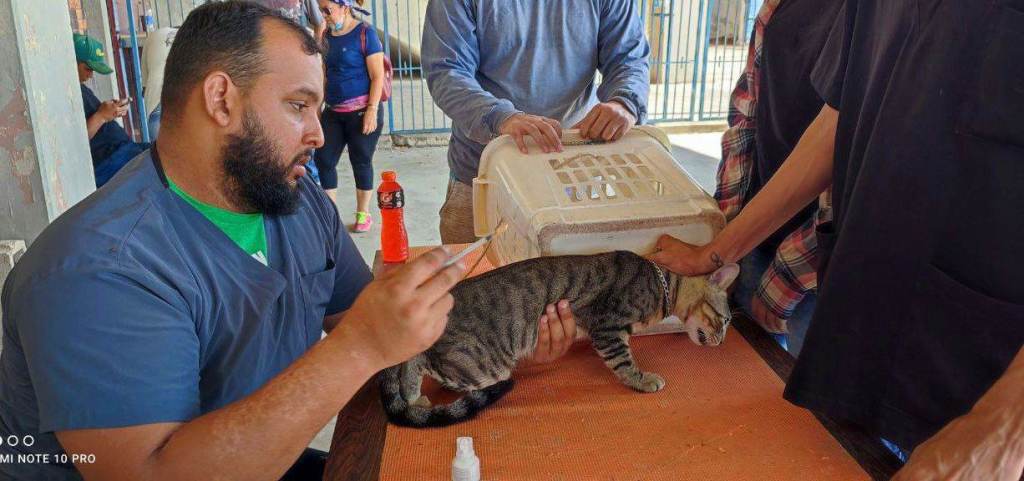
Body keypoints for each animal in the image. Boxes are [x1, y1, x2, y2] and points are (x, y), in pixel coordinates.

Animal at [380, 250, 740, 428]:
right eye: (724, 320)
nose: (723, 342)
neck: (662, 285)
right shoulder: (609, 327)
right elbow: (624, 363)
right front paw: (643, 380)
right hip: (484, 365)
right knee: (434, 367)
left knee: (415, 364)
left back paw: (415, 399)